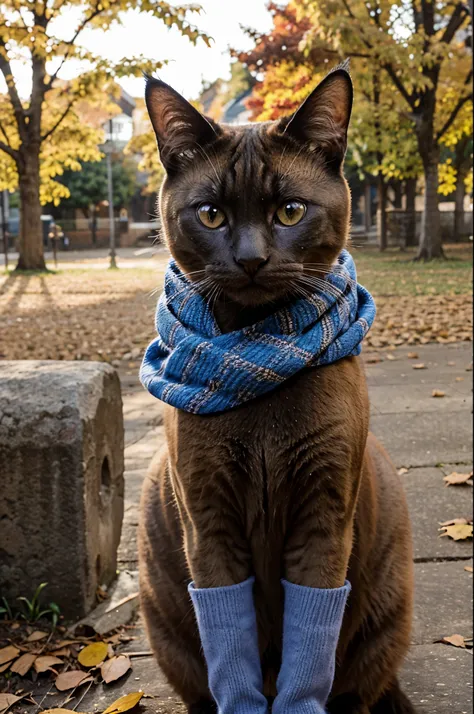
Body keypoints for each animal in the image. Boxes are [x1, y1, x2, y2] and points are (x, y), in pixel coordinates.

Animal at [137, 68, 414, 712]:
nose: (251, 258)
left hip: (386, 614)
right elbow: (229, 650)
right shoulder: (207, 521)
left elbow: (309, 652)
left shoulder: (325, 516)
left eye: (290, 210)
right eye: (210, 214)